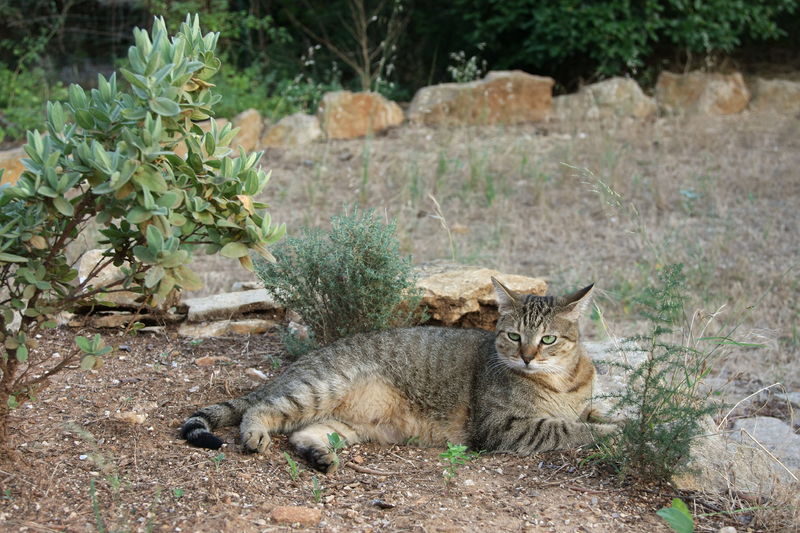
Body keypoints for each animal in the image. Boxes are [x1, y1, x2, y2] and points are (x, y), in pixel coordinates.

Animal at [183, 278, 620, 470]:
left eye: (548, 339)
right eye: (514, 336)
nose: (528, 357)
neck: (561, 382)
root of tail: (301, 362)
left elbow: (590, 414)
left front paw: (613, 419)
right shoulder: (504, 426)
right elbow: (569, 429)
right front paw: (615, 432)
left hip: (343, 424)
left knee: (301, 434)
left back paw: (320, 456)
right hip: (318, 389)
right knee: (260, 409)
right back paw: (255, 434)